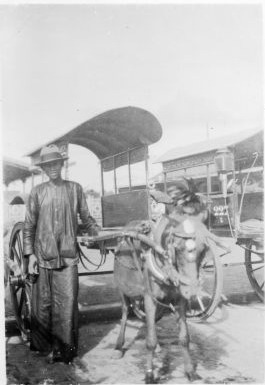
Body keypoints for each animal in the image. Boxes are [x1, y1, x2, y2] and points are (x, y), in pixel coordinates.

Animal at [113, 214, 212, 382]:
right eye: (178, 248)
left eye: (203, 249)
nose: (191, 290)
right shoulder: (149, 298)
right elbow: (150, 341)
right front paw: (149, 374)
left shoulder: (180, 301)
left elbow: (184, 338)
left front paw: (190, 371)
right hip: (122, 289)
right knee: (125, 312)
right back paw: (119, 346)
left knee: (150, 319)